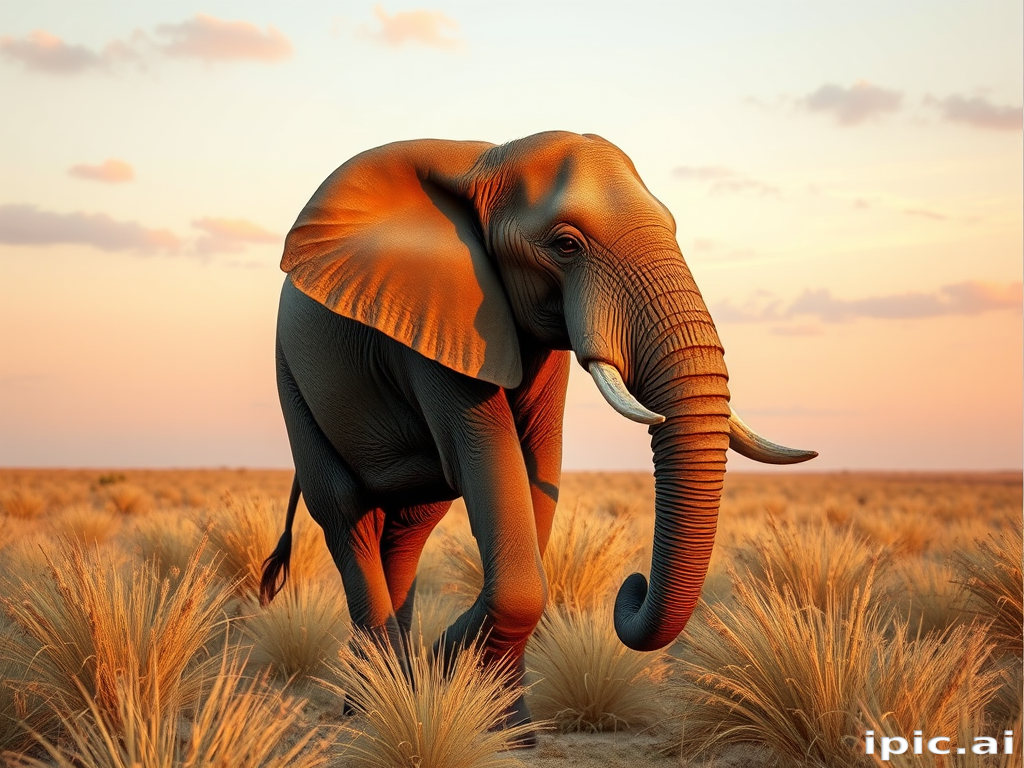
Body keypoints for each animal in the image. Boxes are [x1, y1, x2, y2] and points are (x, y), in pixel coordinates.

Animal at [260, 130, 816, 743]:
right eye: (566, 245)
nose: (632, 585)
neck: (488, 161)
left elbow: (537, 464)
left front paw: (511, 729)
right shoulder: (437, 320)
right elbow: (490, 461)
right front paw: (451, 671)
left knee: (409, 526)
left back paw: (385, 692)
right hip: (290, 377)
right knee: (346, 514)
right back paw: (373, 707)